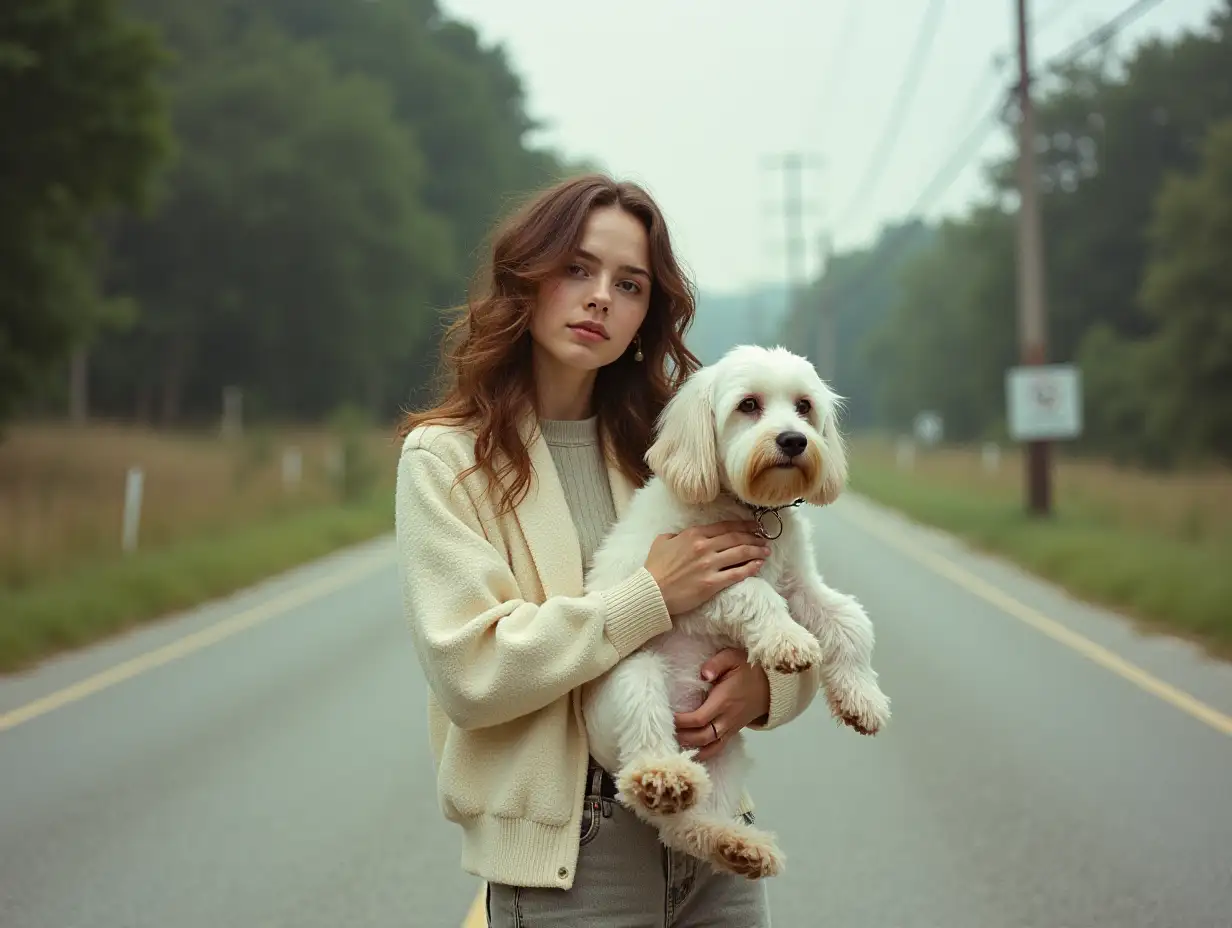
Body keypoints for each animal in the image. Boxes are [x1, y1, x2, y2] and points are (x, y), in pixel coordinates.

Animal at [581, 345, 891, 877]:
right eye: (749, 405)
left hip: (723, 759)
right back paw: (661, 774)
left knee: (681, 827)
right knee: (641, 757)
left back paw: (737, 844)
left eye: (804, 406)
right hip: (636, 679)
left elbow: (849, 620)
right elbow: (756, 594)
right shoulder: (702, 585)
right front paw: (788, 642)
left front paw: (862, 698)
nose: (793, 440)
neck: (750, 510)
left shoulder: (802, 586)